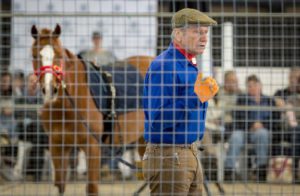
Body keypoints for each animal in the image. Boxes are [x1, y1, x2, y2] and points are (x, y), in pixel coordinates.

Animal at [31, 24, 152, 196]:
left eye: (59, 55)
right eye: (35, 55)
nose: (49, 89)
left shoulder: (93, 147)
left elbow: (92, 188)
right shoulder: (57, 146)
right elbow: (60, 185)